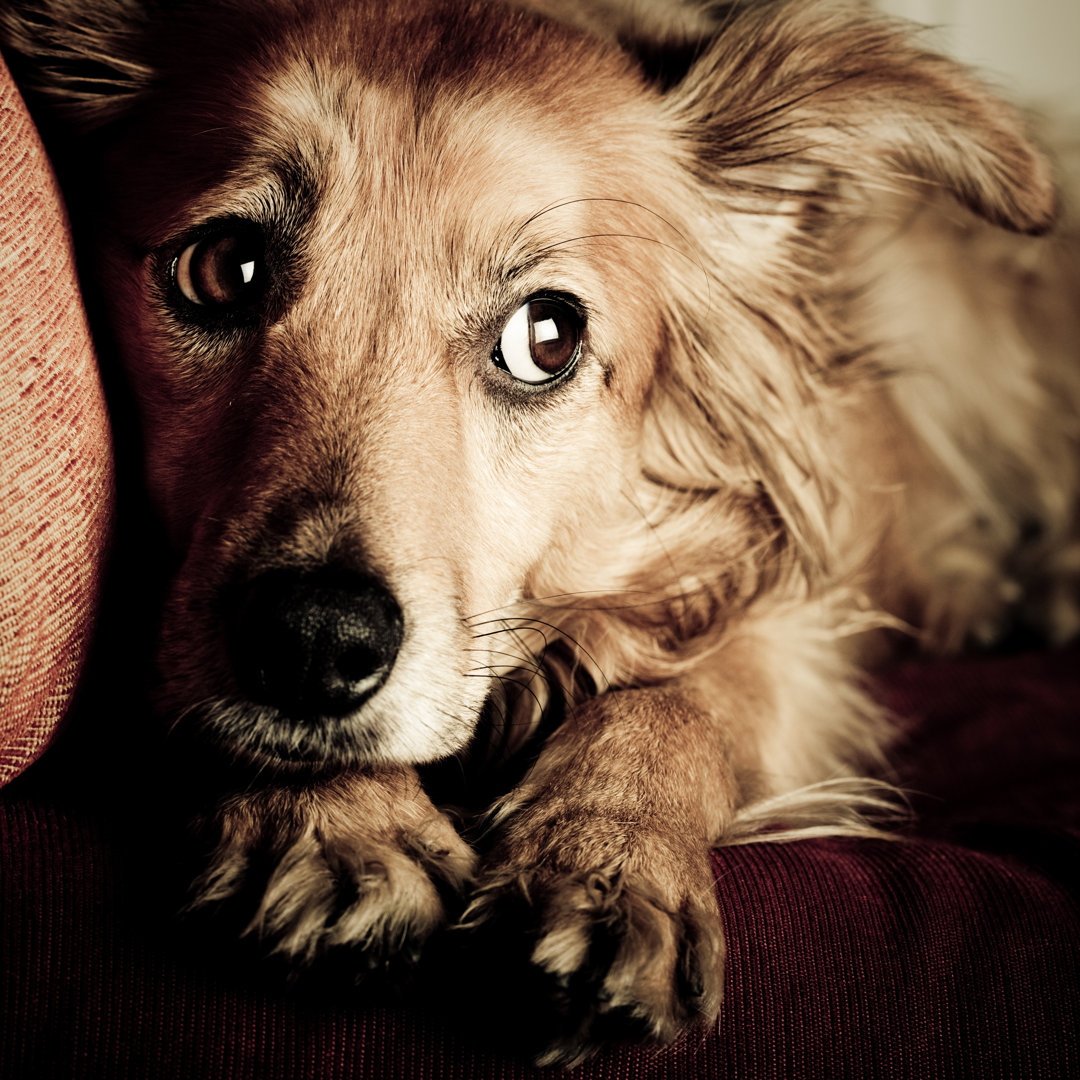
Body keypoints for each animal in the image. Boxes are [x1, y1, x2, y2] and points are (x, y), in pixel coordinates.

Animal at [4, 0, 1075, 1067]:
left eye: (545, 338)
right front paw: (333, 822)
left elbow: (681, 697)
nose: (311, 643)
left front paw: (609, 859)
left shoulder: (788, 608)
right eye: (223, 270)